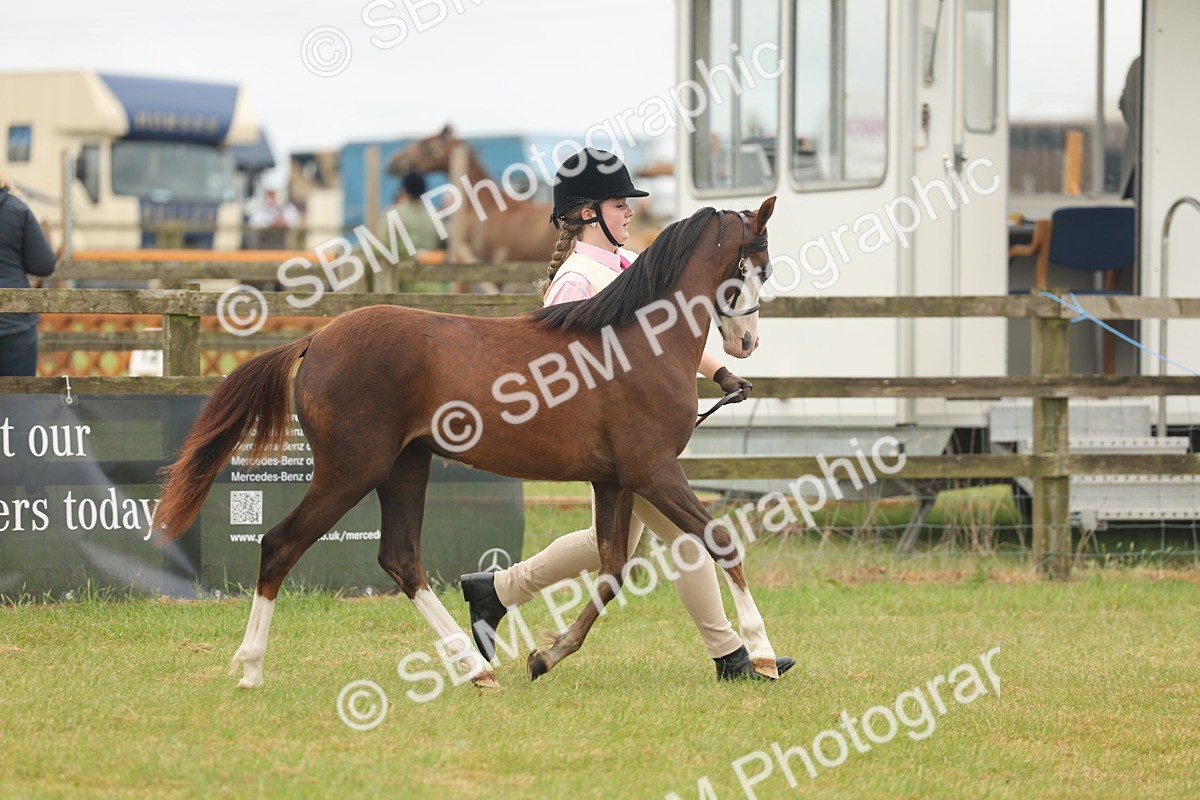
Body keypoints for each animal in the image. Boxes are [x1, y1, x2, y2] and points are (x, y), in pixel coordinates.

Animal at [153, 197, 778, 690]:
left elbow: (612, 568)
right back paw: (251, 668)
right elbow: (720, 542)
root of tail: (317, 339)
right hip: (350, 472)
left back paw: (477, 665)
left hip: (405, 468)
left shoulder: (616, 479)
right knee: (281, 546)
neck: (638, 342)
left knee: (401, 559)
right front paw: (763, 654)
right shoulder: (653, 471)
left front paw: (545, 656)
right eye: (757, 267)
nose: (746, 343)